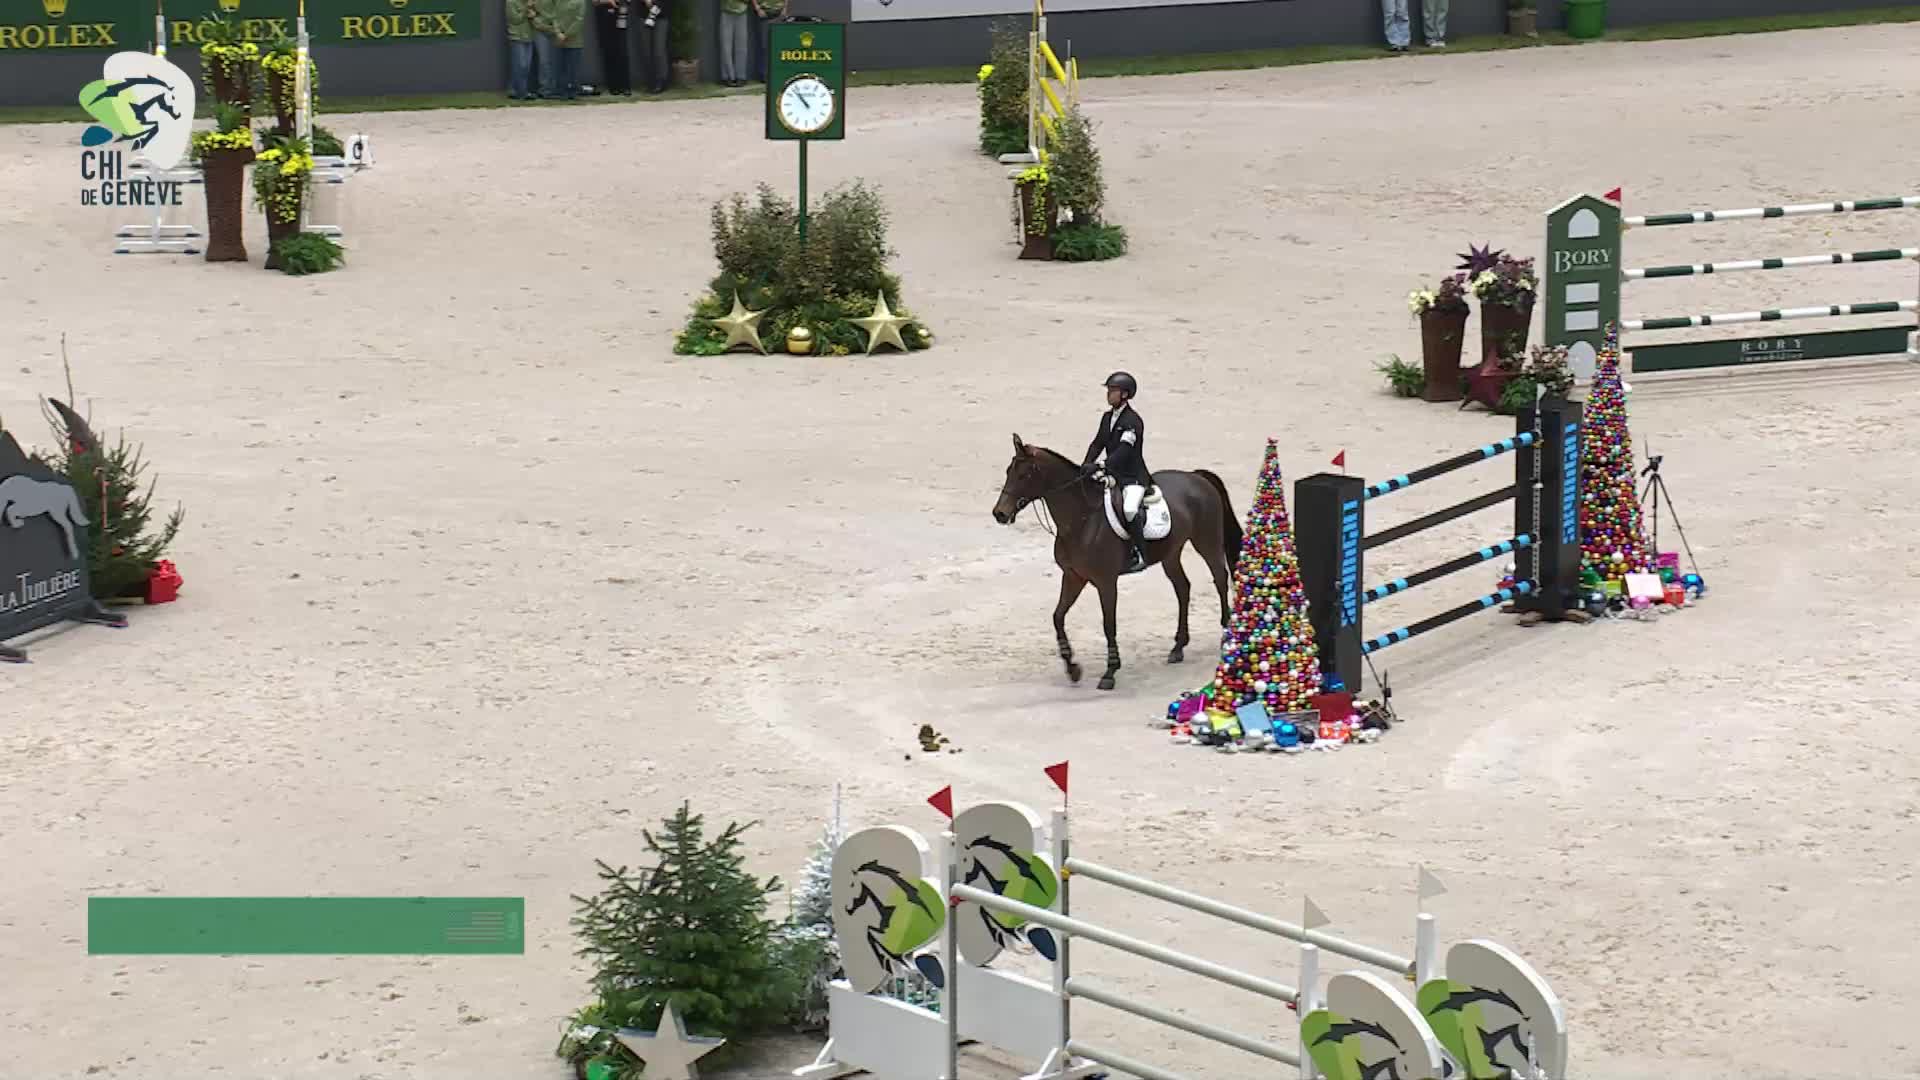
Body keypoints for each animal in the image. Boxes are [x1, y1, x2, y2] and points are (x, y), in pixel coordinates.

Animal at [992, 435, 1242, 691]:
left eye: (1024, 475)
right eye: (1008, 471)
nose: (999, 514)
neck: (1081, 519)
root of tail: (1196, 476)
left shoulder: (1106, 582)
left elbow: (1108, 624)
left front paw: (1109, 672)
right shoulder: (1073, 577)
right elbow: (1058, 617)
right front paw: (1072, 669)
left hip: (1206, 542)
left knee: (1220, 578)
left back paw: (1225, 636)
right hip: (1171, 553)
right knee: (1183, 588)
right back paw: (1178, 648)